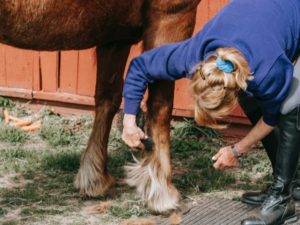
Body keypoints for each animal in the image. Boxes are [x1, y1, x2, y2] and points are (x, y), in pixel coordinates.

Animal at [1, 0, 202, 214]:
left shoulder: (116, 37)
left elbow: (108, 99)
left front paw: (95, 180)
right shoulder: (172, 17)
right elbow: (161, 106)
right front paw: (164, 193)